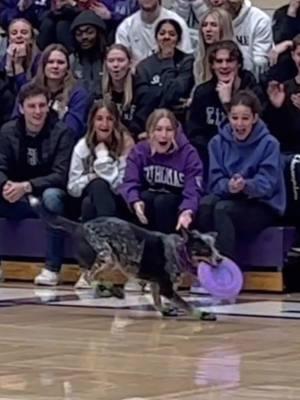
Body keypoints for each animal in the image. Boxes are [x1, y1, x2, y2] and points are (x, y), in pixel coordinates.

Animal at [29, 195, 221, 320]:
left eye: (215, 247)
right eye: (205, 250)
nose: (220, 259)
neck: (179, 251)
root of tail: (80, 226)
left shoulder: (156, 284)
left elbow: (157, 300)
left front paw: (165, 310)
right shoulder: (166, 287)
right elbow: (186, 304)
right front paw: (202, 314)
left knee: (91, 276)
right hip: (107, 256)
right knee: (90, 277)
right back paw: (112, 289)